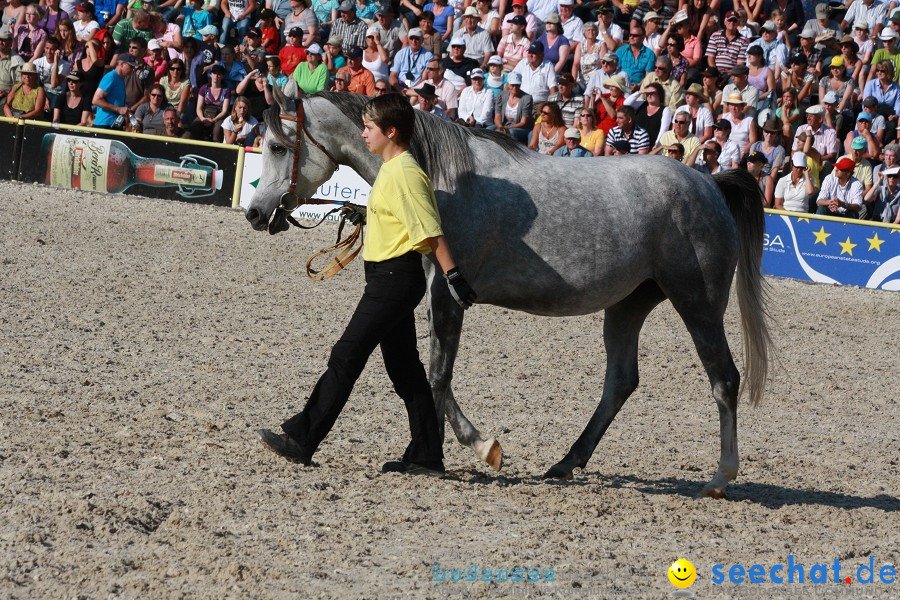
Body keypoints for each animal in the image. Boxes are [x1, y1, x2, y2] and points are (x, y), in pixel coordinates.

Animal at [246, 92, 772, 496]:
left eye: (276, 145)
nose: (254, 212)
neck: (442, 178)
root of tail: (708, 183)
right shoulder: (434, 296)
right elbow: (430, 374)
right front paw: (444, 450)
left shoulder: (448, 294)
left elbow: (437, 376)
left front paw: (459, 451)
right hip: (627, 306)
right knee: (621, 382)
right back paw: (565, 463)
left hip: (697, 304)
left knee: (724, 379)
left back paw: (719, 479)